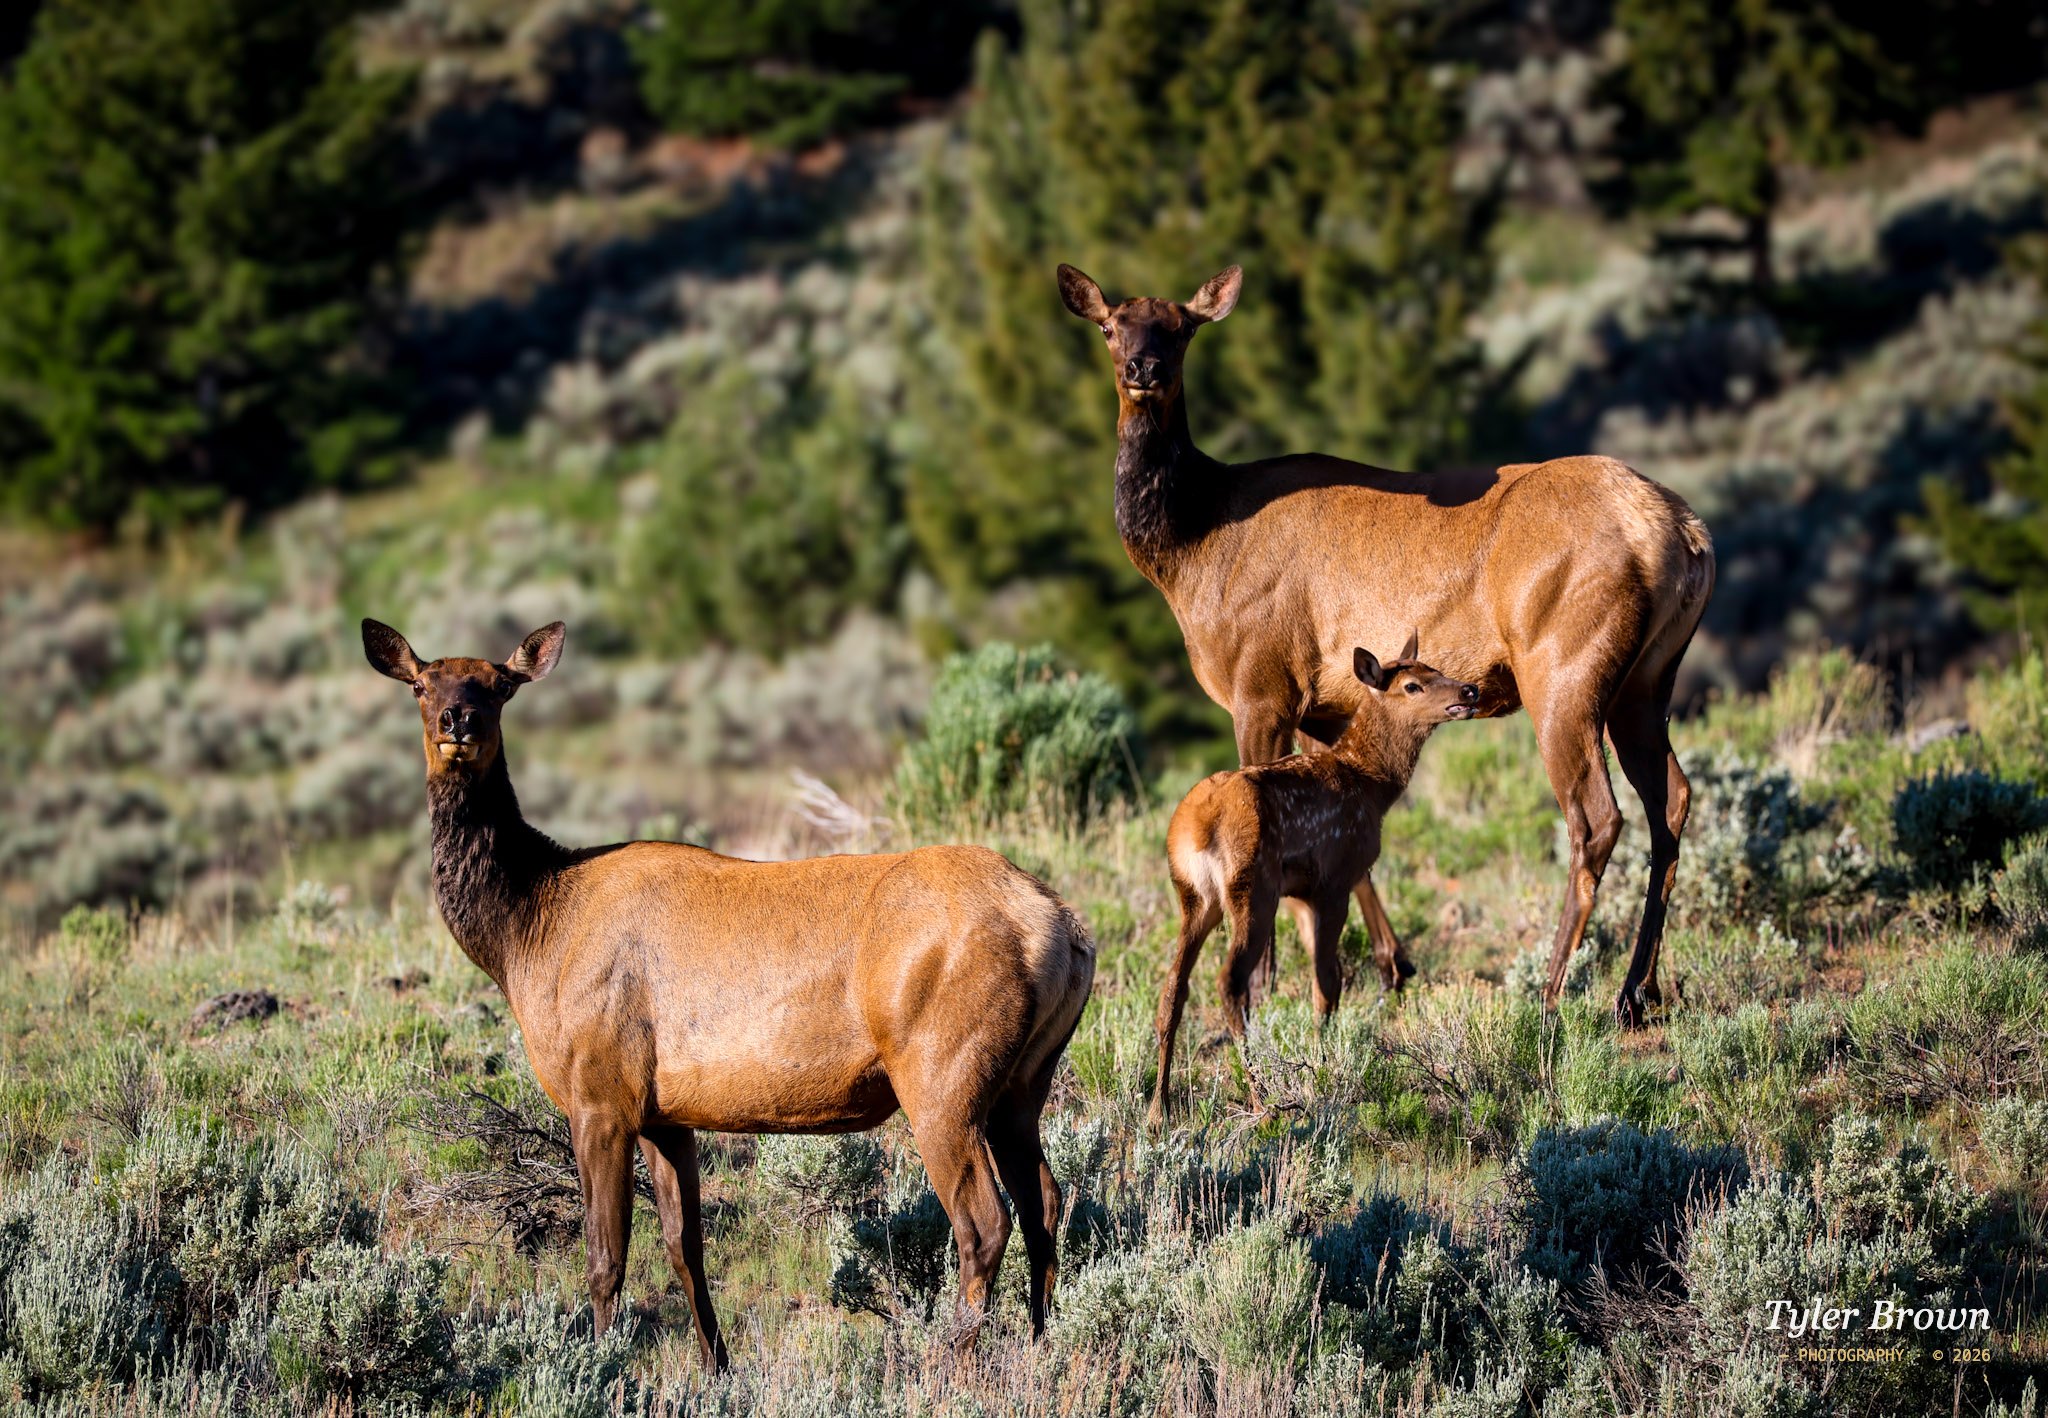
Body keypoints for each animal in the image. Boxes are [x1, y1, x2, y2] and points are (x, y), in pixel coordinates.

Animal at [362, 618, 1094, 1369]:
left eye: (499, 685)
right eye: (422, 684)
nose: (459, 720)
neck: (527, 935)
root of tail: (1062, 928)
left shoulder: (598, 1091)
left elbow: (605, 1258)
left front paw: (603, 1367)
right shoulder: (664, 1111)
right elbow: (684, 1247)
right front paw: (717, 1367)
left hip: (941, 1069)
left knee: (983, 1220)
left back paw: (952, 1361)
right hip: (1023, 1080)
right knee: (1045, 1201)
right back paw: (1039, 1343)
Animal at [1057, 263, 1715, 1028]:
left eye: (1181, 328)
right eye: (1112, 326)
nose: (1144, 368)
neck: (1190, 552)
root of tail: (1684, 532)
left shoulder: (1261, 683)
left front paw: (1268, 989)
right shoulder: (1328, 703)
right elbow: (1350, 830)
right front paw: (1393, 965)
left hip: (1564, 667)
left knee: (1596, 817)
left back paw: (1551, 992)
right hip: (1648, 680)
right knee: (1672, 799)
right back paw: (1636, 991)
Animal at [1149, 635, 1477, 1127]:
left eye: (1436, 669)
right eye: (1413, 685)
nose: (1469, 691)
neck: (1371, 785)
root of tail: (1199, 826)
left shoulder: (1302, 894)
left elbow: (1325, 980)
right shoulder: (1335, 879)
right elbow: (1327, 982)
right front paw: (1325, 1067)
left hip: (1193, 896)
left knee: (1173, 988)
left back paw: (1158, 1109)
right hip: (1252, 885)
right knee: (1230, 981)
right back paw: (1262, 1100)